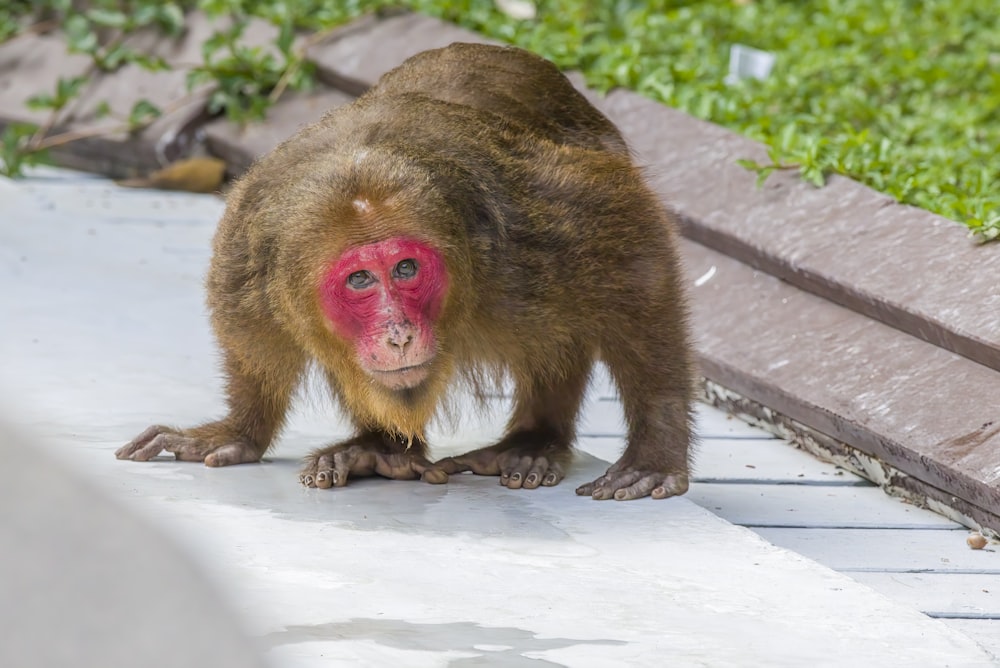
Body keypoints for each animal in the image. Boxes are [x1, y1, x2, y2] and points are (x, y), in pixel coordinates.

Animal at [117, 41, 696, 500]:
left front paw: (654, 452)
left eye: (406, 269)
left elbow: (638, 256)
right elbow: (248, 329)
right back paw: (380, 449)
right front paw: (242, 430)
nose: (397, 334)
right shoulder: (251, 245)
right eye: (360, 280)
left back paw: (534, 441)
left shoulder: (533, 231)